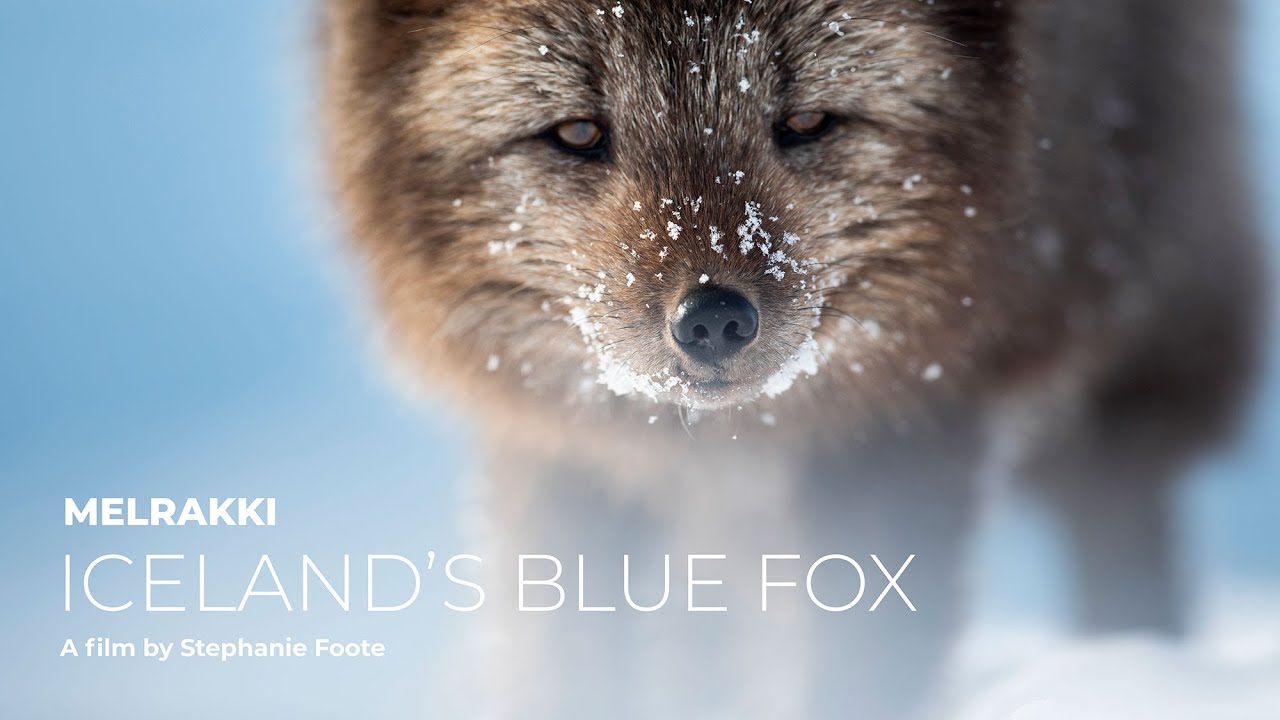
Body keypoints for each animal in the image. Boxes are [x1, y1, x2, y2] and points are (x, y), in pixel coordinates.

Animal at [324, 1, 1262, 717]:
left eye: (806, 121)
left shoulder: (907, 428)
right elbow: (567, 649)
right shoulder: (559, 451)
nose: (711, 321)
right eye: (580, 131)